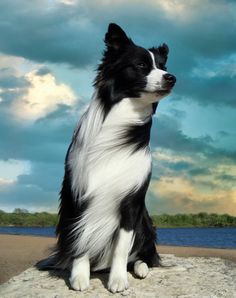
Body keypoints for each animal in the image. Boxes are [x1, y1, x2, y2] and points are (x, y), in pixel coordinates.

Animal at [39, 23, 175, 294]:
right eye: (141, 65)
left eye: (163, 67)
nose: (171, 77)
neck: (123, 113)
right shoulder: (77, 194)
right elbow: (81, 236)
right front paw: (79, 276)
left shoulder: (131, 202)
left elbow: (121, 247)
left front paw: (118, 279)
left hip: (146, 223)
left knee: (145, 254)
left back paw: (141, 268)